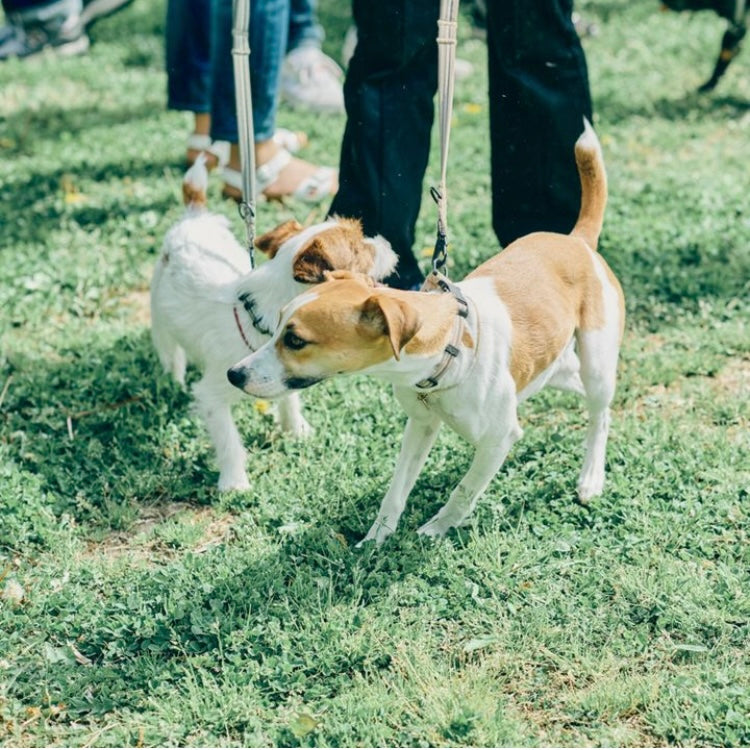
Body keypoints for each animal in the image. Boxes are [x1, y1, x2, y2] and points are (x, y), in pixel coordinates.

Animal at [151, 156, 400, 490]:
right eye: (362, 250)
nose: (387, 243)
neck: (258, 315)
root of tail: (193, 218)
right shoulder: (212, 396)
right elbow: (228, 440)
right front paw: (234, 482)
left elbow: (289, 396)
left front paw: (295, 428)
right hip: (160, 318)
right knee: (170, 352)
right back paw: (173, 380)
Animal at [229, 122, 628, 548]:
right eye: (276, 326)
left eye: (296, 340)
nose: (234, 374)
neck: (450, 347)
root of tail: (576, 240)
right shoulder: (419, 427)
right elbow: (396, 490)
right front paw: (376, 539)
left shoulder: (498, 439)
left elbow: (464, 490)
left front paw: (436, 528)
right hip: (553, 370)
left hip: (596, 362)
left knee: (599, 414)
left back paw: (591, 476)